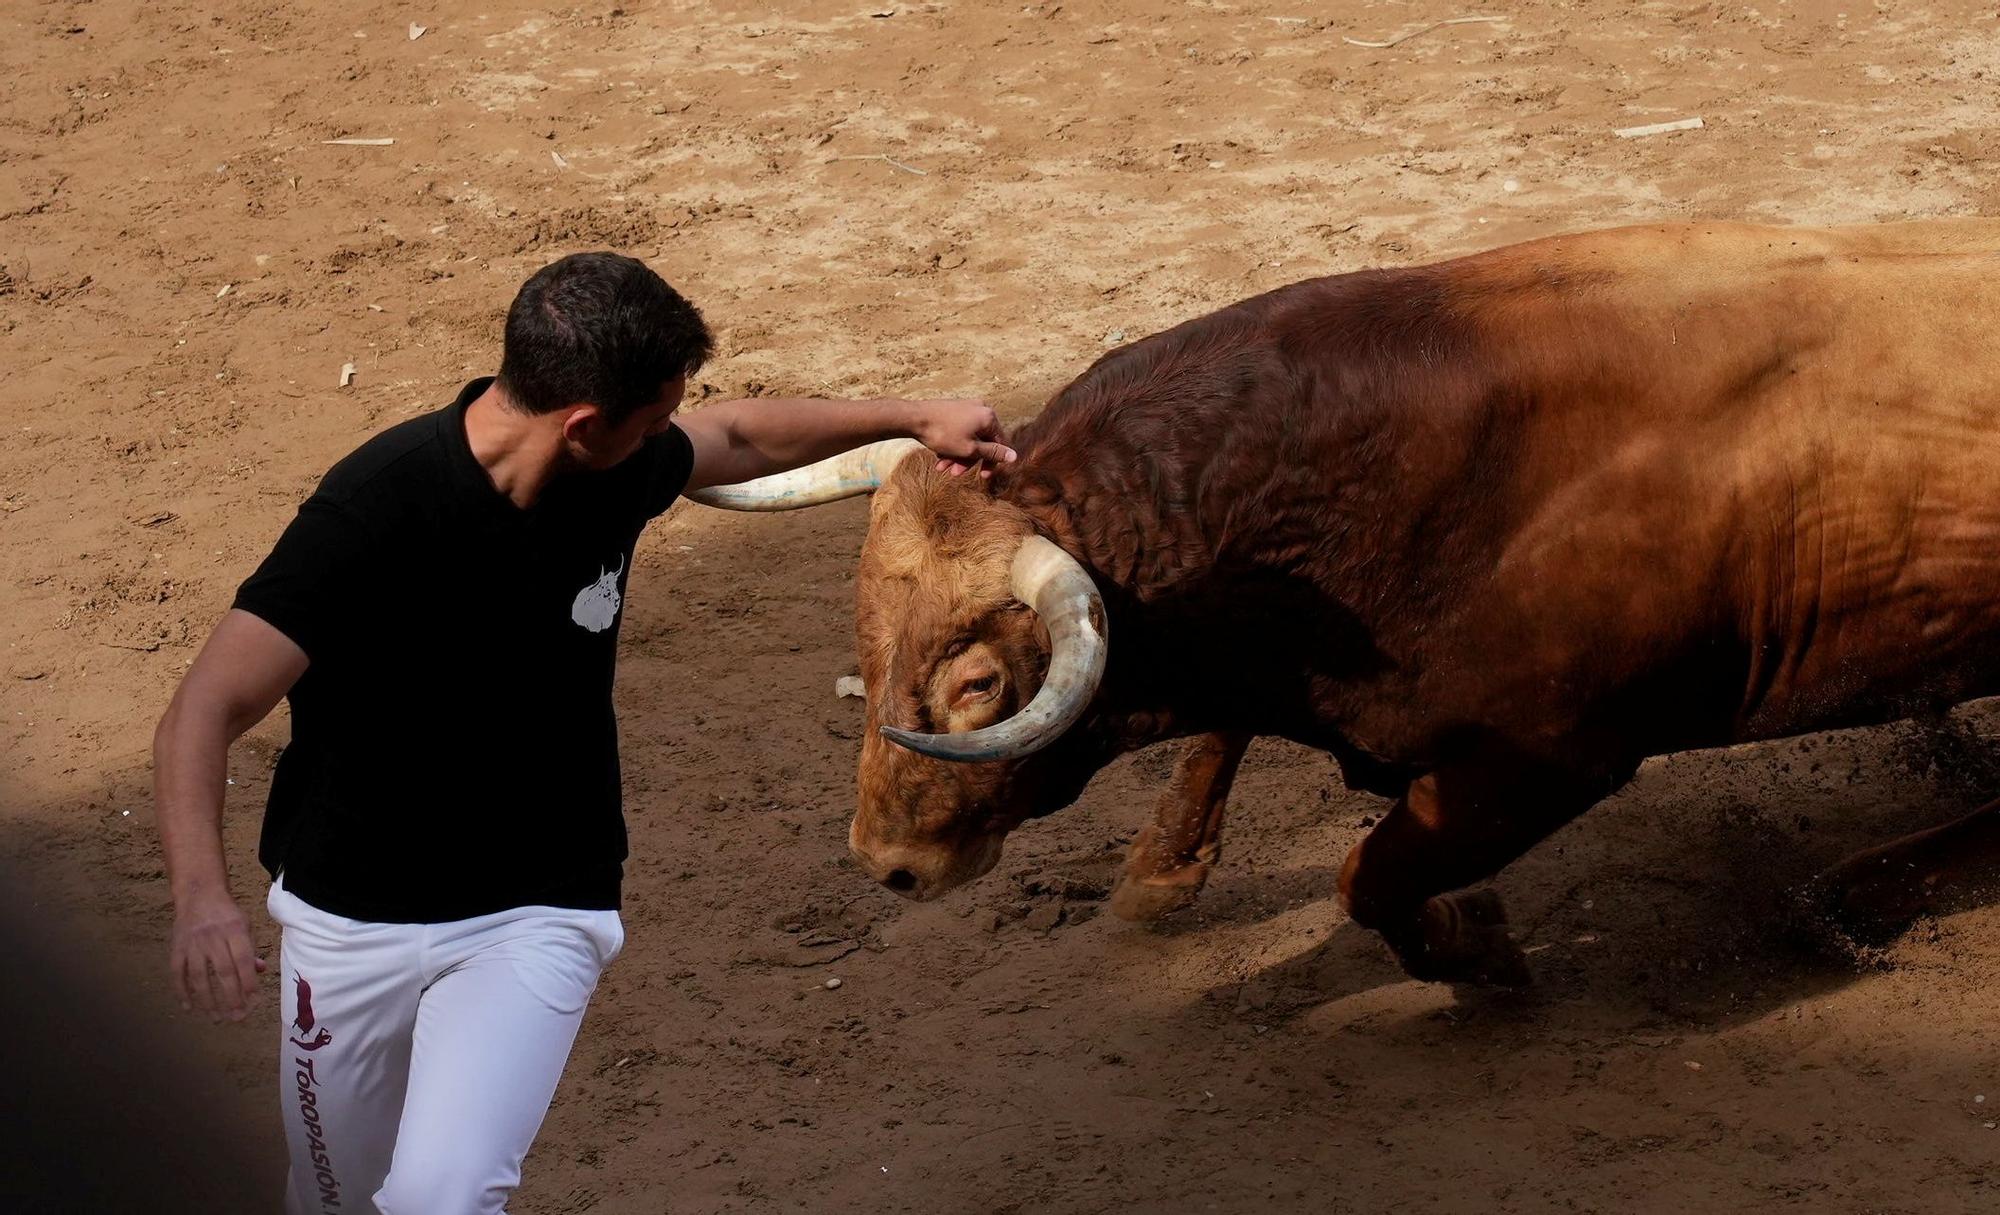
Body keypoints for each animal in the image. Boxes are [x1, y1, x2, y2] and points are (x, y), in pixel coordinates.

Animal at [696, 222, 2000, 987]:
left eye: (978, 684)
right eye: (865, 641)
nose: (886, 866)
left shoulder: (1544, 761)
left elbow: (1365, 878)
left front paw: (1476, 952)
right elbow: (1218, 725)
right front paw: (1158, 877)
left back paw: (1845, 901)